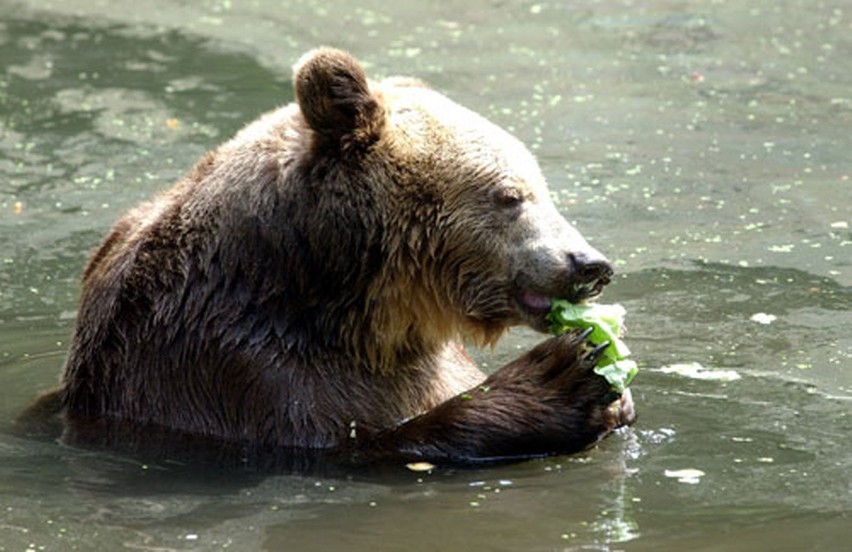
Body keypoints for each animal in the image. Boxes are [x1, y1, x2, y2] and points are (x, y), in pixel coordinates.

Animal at [36, 47, 636, 466]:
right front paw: (566, 376)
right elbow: (354, 444)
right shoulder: (234, 370)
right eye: (510, 195)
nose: (590, 264)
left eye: (543, 188)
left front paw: (616, 393)